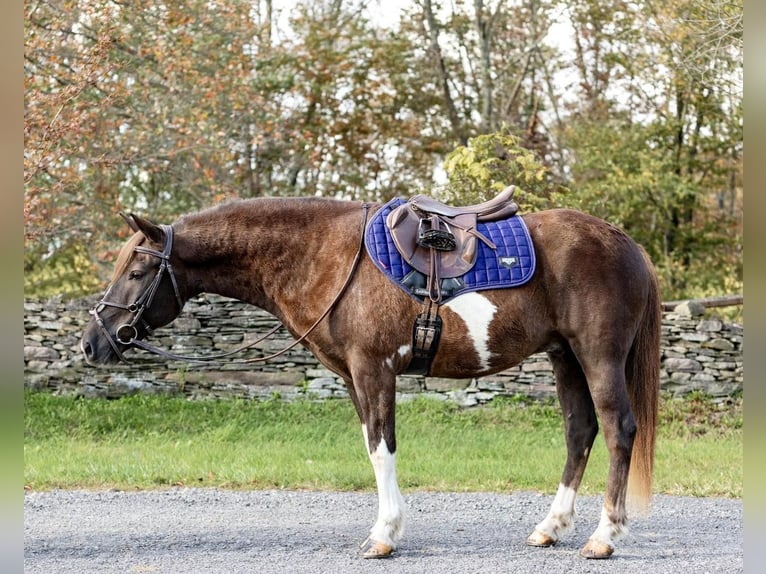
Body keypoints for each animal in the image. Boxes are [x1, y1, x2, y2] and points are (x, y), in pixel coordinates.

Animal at [81, 196, 664, 560]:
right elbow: (371, 446)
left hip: (598, 357)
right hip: (566, 358)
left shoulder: (374, 369)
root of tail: (626, 243)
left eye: (137, 272)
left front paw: (384, 536)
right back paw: (550, 528)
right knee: (579, 432)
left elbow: (382, 448)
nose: (92, 342)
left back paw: (604, 537)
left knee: (618, 431)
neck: (327, 257)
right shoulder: (351, 377)